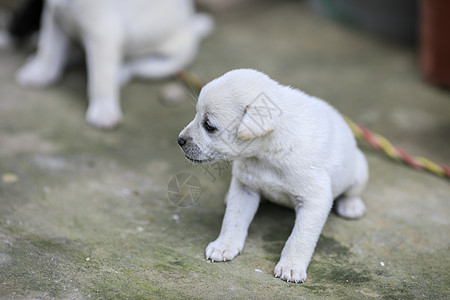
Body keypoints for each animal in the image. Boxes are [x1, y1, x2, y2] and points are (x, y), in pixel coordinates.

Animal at [12, 0, 213, 127]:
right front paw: (40, 72)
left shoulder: (102, 34)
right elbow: (49, 48)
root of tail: (190, 28)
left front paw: (103, 110)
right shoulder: (54, 16)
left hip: (164, 62)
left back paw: (119, 73)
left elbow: (100, 78)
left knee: (133, 66)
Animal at [178, 68, 368, 284]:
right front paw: (224, 245)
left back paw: (351, 206)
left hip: (359, 169)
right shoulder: (245, 188)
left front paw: (291, 266)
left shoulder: (314, 200)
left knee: (353, 190)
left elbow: (300, 237)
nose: (179, 140)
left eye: (209, 125)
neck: (266, 153)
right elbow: (233, 219)